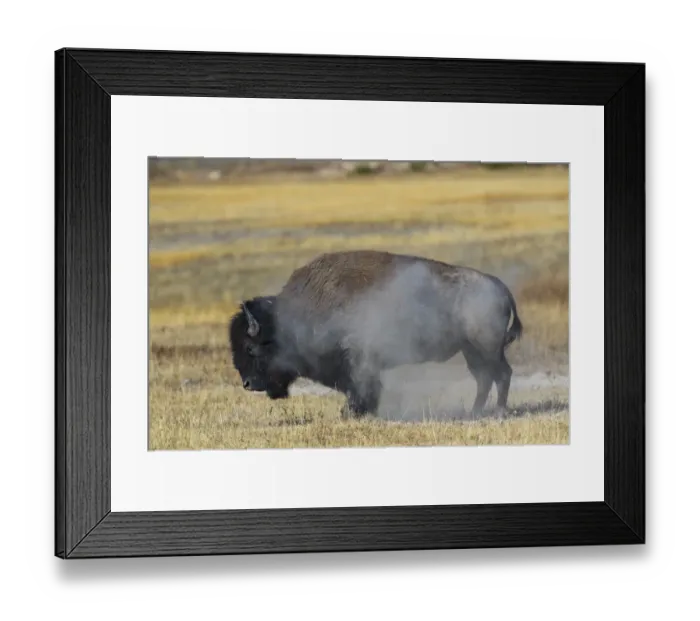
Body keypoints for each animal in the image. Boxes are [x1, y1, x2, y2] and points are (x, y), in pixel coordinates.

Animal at [229, 250, 522, 419]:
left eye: (251, 348)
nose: (247, 384)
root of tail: (498, 285)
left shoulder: (359, 361)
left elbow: (362, 387)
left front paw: (352, 412)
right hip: (471, 351)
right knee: (484, 378)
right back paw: (475, 413)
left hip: (487, 349)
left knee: (501, 375)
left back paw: (497, 413)